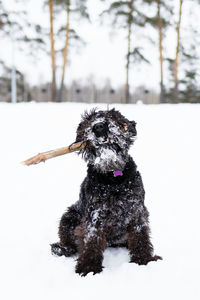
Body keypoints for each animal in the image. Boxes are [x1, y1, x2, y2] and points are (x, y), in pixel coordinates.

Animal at [50, 109, 162, 276]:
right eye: (87, 120)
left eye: (112, 116)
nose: (99, 126)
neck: (113, 179)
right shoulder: (95, 215)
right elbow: (92, 240)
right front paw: (89, 268)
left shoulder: (136, 211)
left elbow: (140, 235)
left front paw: (143, 260)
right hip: (69, 216)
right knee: (69, 242)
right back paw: (62, 248)